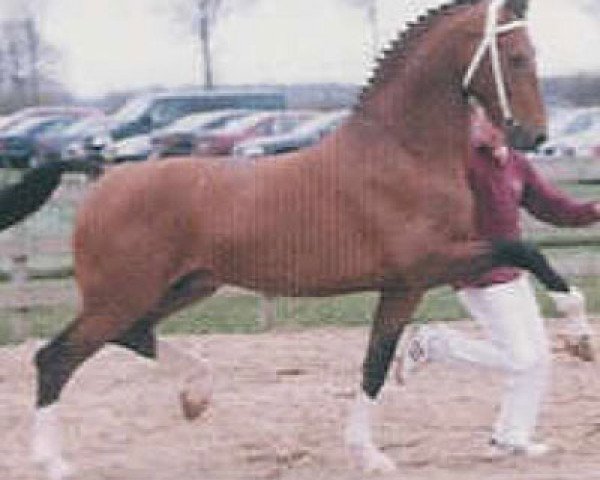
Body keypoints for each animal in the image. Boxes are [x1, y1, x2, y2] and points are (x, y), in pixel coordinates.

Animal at [1, 0, 572, 476]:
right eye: (517, 57)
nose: (534, 136)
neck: (401, 152)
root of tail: (101, 177)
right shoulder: (430, 264)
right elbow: (525, 250)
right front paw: (576, 325)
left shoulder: (405, 284)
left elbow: (375, 363)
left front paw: (368, 454)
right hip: (122, 296)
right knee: (55, 357)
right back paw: (54, 462)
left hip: (184, 286)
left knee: (132, 336)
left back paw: (197, 395)